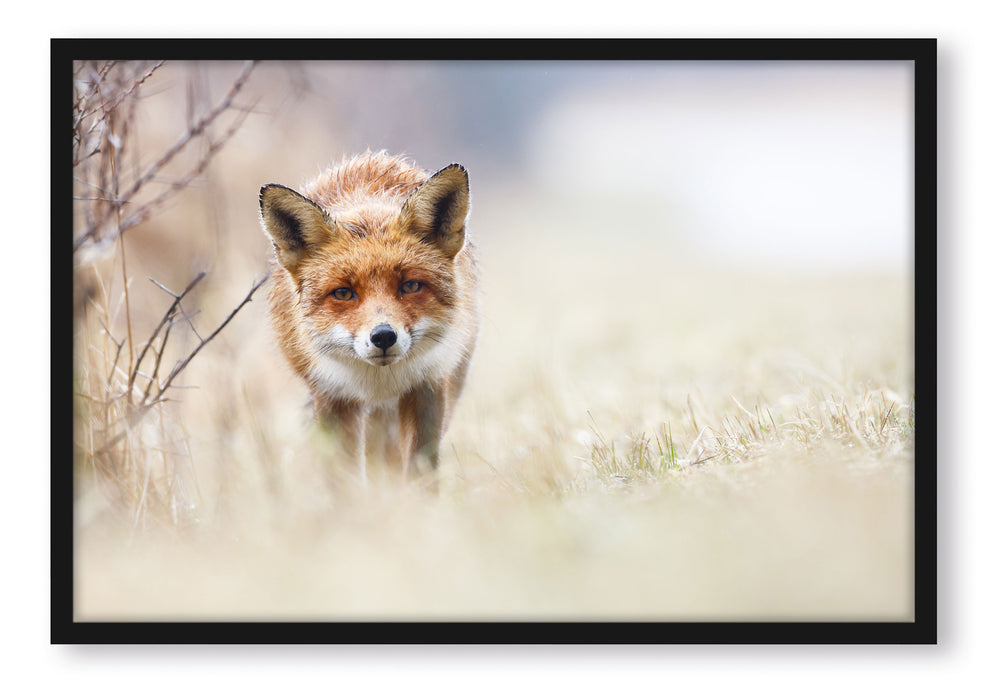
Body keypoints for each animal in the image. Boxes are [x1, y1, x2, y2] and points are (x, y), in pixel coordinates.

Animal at [259, 151, 480, 485]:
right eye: (343, 293)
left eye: (410, 286)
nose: (383, 336)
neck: (379, 382)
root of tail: (371, 157)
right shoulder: (331, 397)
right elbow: (343, 479)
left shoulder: (428, 387)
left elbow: (420, 471)